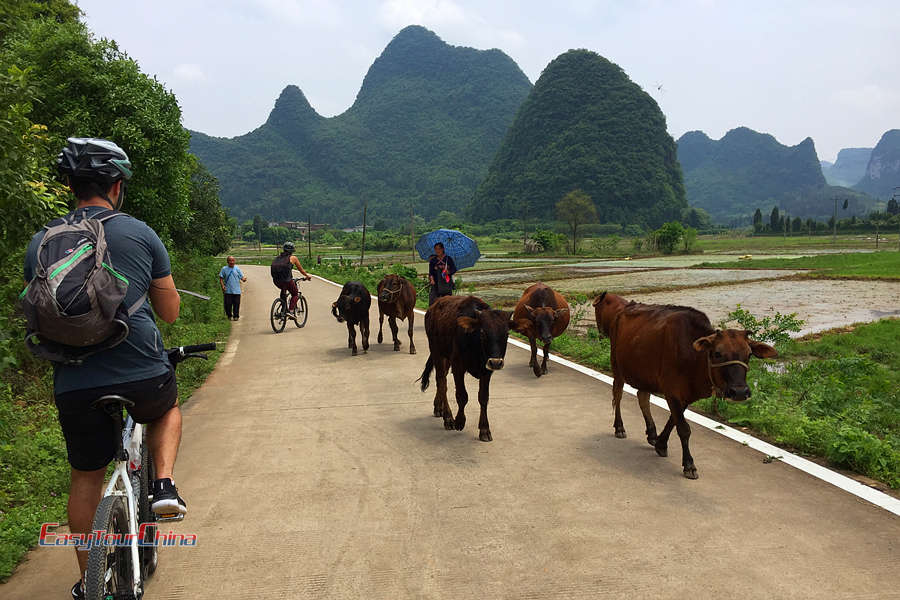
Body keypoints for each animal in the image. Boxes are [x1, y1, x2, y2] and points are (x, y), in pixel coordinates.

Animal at [420, 296, 532, 440]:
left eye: (507, 333)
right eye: (483, 332)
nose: (496, 362)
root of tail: (433, 306)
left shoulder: (486, 371)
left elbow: (483, 398)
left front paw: (484, 429)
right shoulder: (458, 367)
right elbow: (462, 395)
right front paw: (459, 421)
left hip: (446, 357)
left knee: (441, 380)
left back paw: (438, 408)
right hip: (436, 351)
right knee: (442, 382)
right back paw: (448, 418)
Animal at [596, 290, 776, 478]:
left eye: (749, 354)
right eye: (718, 353)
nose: (740, 392)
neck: (694, 357)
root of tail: (623, 309)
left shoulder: (685, 396)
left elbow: (673, 421)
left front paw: (660, 443)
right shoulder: (672, 392)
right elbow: (683, 428)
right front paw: (689, 464)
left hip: (645, 374)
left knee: (642, 397)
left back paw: (651, 433)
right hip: (617, 367)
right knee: (617, 396)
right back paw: (619, 427)